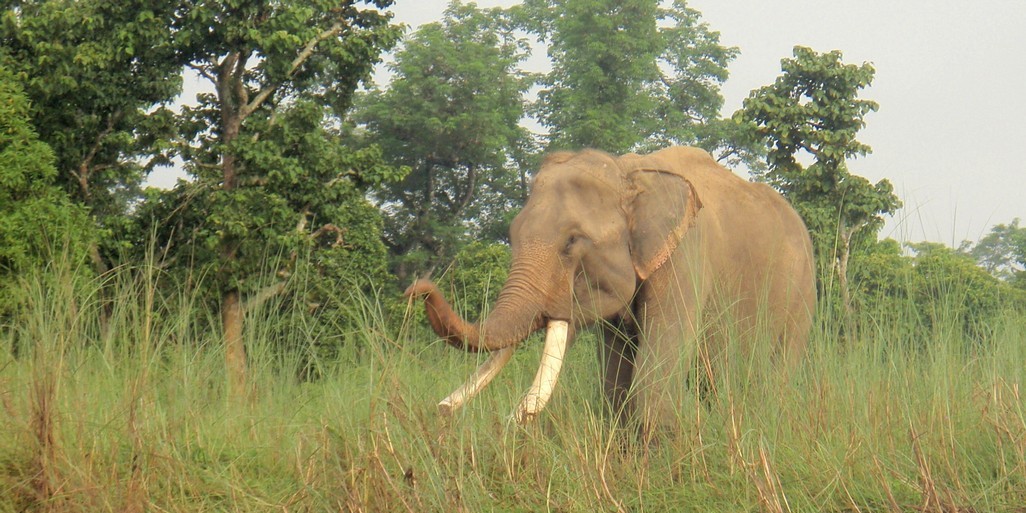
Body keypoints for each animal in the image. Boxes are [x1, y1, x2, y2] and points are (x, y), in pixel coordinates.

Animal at [404, 145, 812, 432]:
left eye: (571, 242)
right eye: (512, 234)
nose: (416, 289)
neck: (627, 170)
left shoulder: (686, 258)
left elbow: (653, 373)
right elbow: (616, 380)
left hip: (802, 295)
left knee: (776, 376)